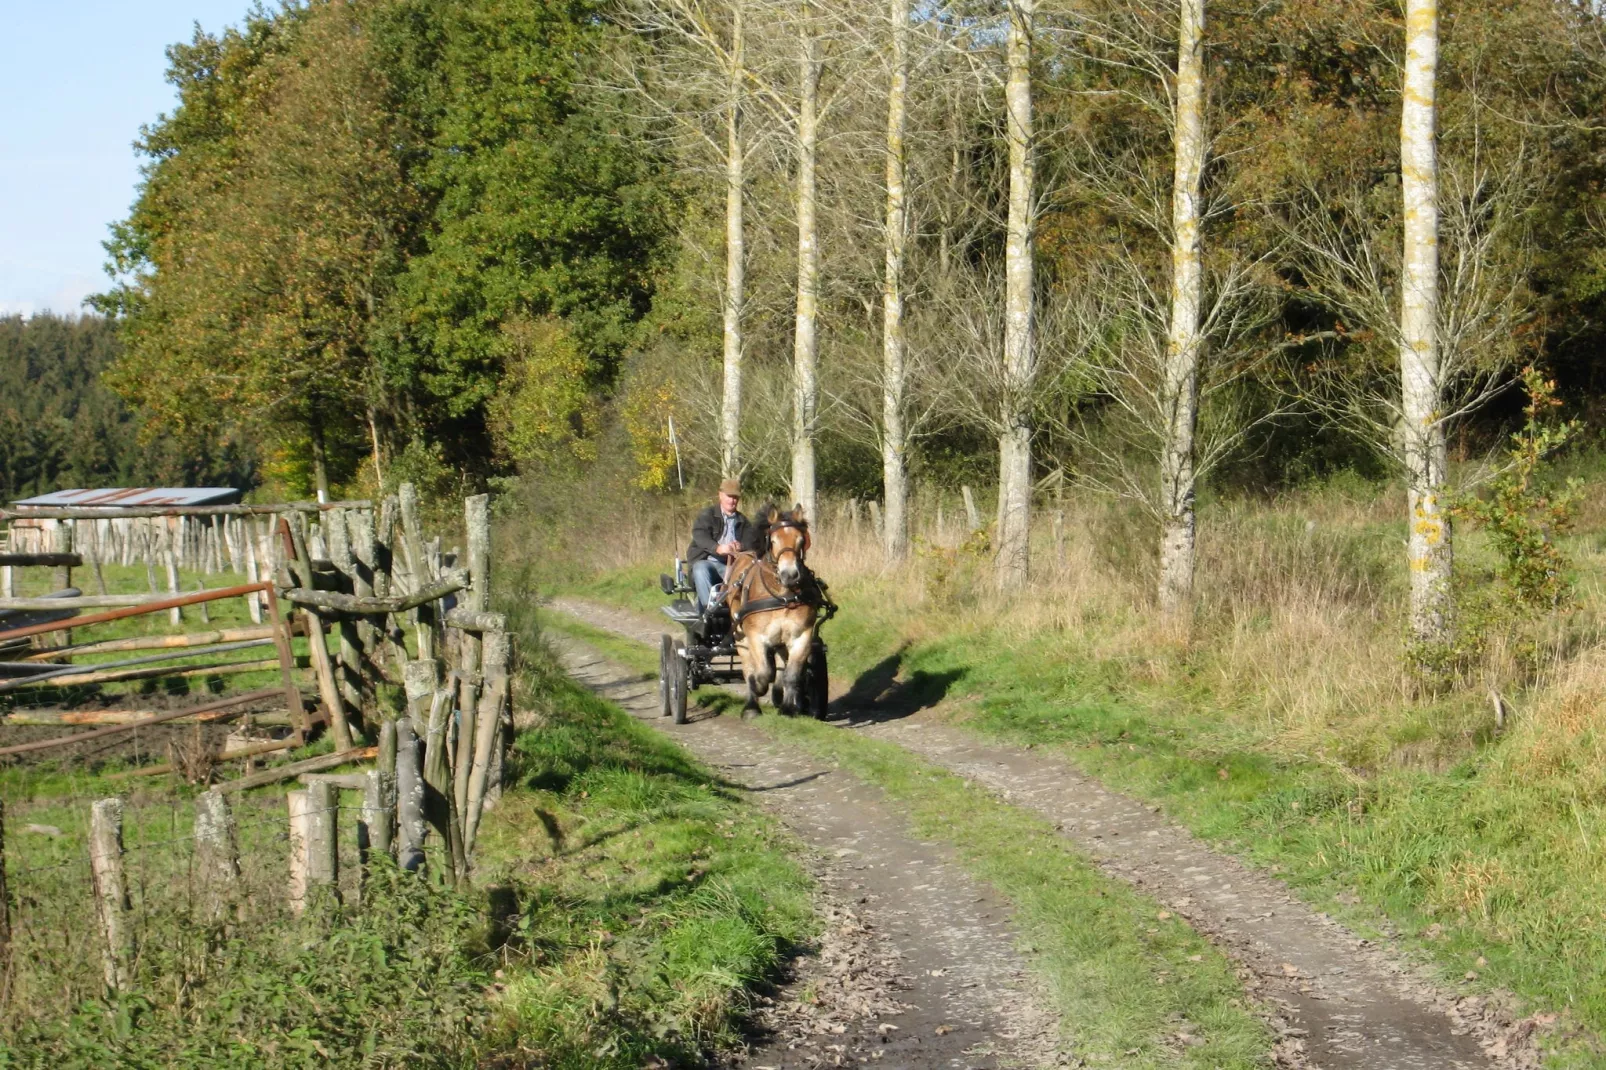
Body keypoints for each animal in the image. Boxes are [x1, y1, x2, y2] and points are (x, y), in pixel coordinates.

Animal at [729, 501, 828, 716]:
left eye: (801, 540)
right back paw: (751, 706)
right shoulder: (755, 636)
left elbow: (791, 673)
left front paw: (789, 707)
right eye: (773, 541)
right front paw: (758, 687)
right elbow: (763, 672)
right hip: (741, 637)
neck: (783, 596)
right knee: (749, 667)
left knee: (782, 664)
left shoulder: (802, 635)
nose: (789, 574)